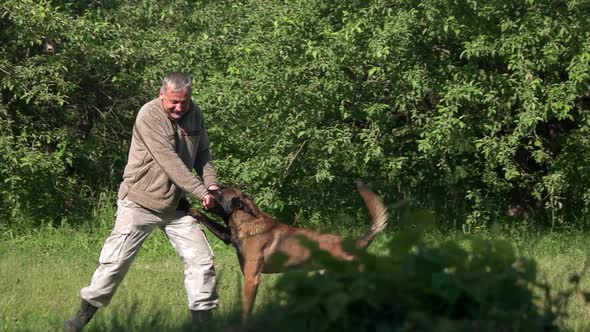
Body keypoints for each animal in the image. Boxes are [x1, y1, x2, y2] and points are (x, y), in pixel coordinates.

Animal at [192, 180, 390, 320]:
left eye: (219, 191)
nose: (208, 189)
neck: (246, 220)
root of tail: (356, 244)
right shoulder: (227, 237)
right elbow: (204, 218)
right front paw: (189, 208)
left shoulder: (251, 279)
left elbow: (246, 311)